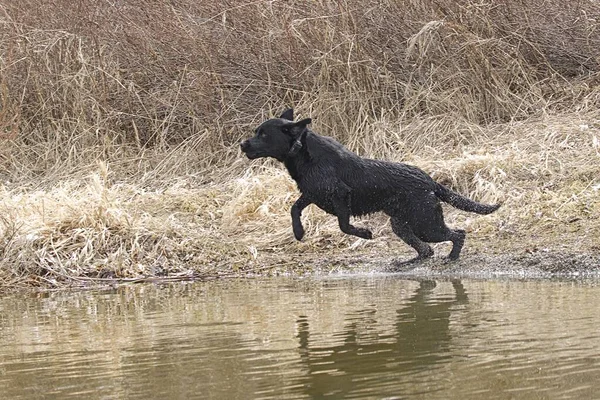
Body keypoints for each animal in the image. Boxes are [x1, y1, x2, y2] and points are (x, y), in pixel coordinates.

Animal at [241, 108, 500, 262]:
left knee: (458, 234)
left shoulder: (339, 194)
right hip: (402, 225)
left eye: (264, 135)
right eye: (257, 132)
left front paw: (364, 233)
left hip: (426, 223)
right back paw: (410, 261)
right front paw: (298, 232)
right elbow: (294, 209)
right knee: (427, 249)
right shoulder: (312, 193)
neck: (302, 153)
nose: (243, 144)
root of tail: (429, 180)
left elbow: (344, 225)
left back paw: (452, 257)